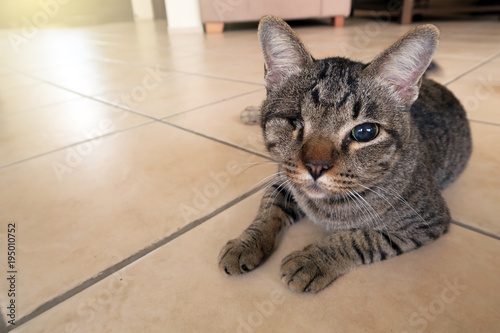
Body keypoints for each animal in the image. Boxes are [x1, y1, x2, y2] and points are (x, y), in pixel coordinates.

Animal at [217, 15, 470, 292]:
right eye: (294, 121)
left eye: (365, 132)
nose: (316, 166)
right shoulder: (283, 180)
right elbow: (267, 211)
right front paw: (246, 243)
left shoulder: (426, 222)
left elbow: (360, 238)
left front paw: (312, 260)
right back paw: (251, 111)